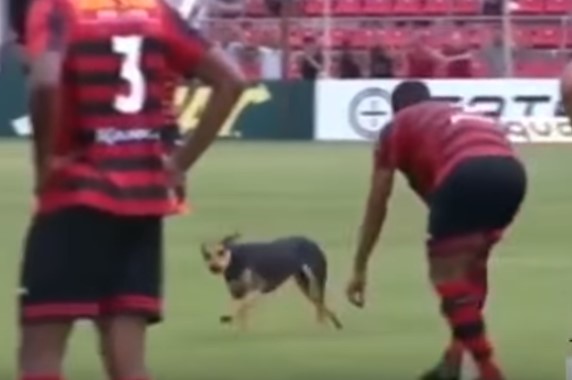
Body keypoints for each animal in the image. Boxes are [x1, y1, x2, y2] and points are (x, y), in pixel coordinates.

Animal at [202, 232, 344, 330]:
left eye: (221, 252)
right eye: (207, 255)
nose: (213, 267)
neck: (235, 261)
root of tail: (312, 242)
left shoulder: (256, 290)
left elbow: (242, 307)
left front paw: (228, 318)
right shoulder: (237, 293)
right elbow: (240, 311)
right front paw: (240, 331)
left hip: (316, 281)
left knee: (321, 304)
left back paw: (329, 324)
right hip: (304, 285)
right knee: (320, 305)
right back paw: (329, 323)